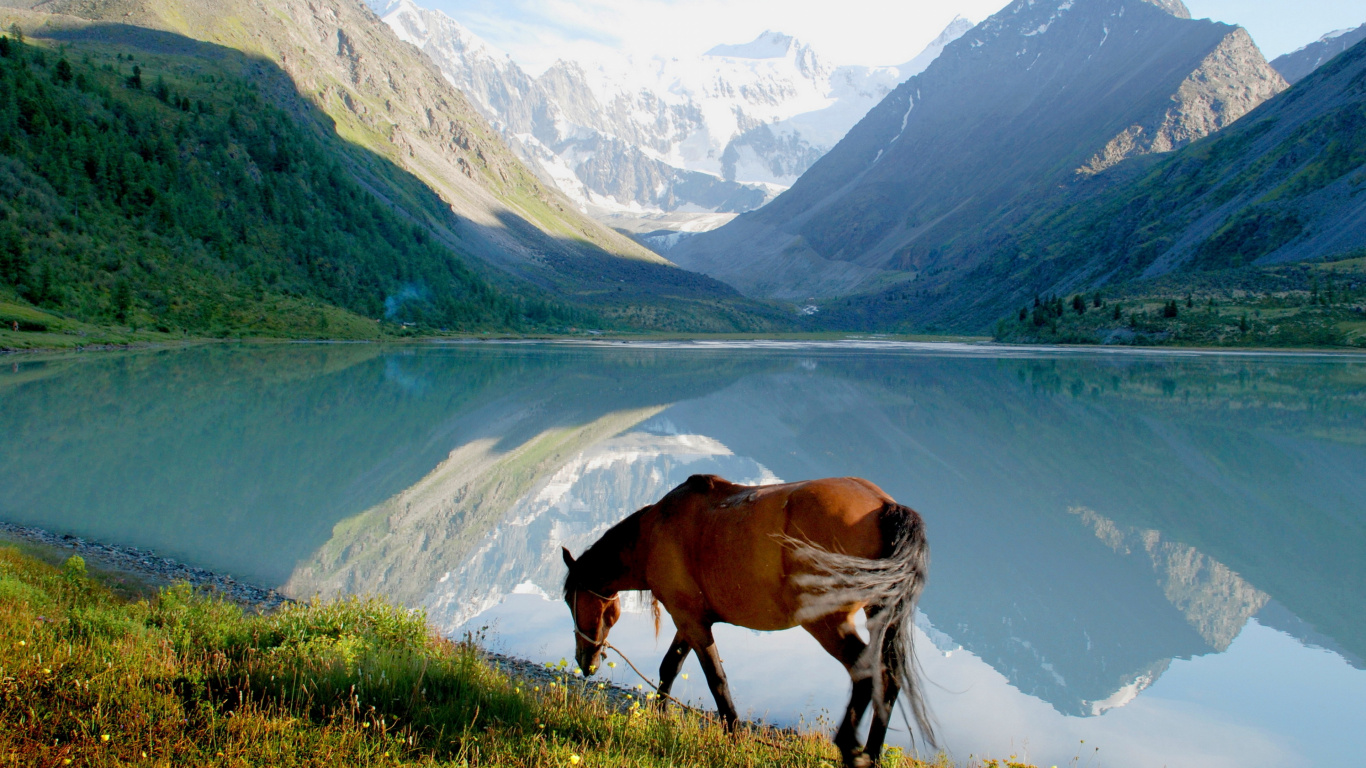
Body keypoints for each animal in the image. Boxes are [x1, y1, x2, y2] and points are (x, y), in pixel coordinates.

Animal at [561, 474, 935, 767]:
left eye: (568, 599)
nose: (586, 662)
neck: (655, 532)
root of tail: (884, 506)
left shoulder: (691, 621)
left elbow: (715, 679)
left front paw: (732, 735)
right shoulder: (690, 620)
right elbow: (670, 666)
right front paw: (660, 716)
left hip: (827, 622)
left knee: (866, 672)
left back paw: (849, 748)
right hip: (878, 614)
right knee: (888, 676)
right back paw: (870, 755)